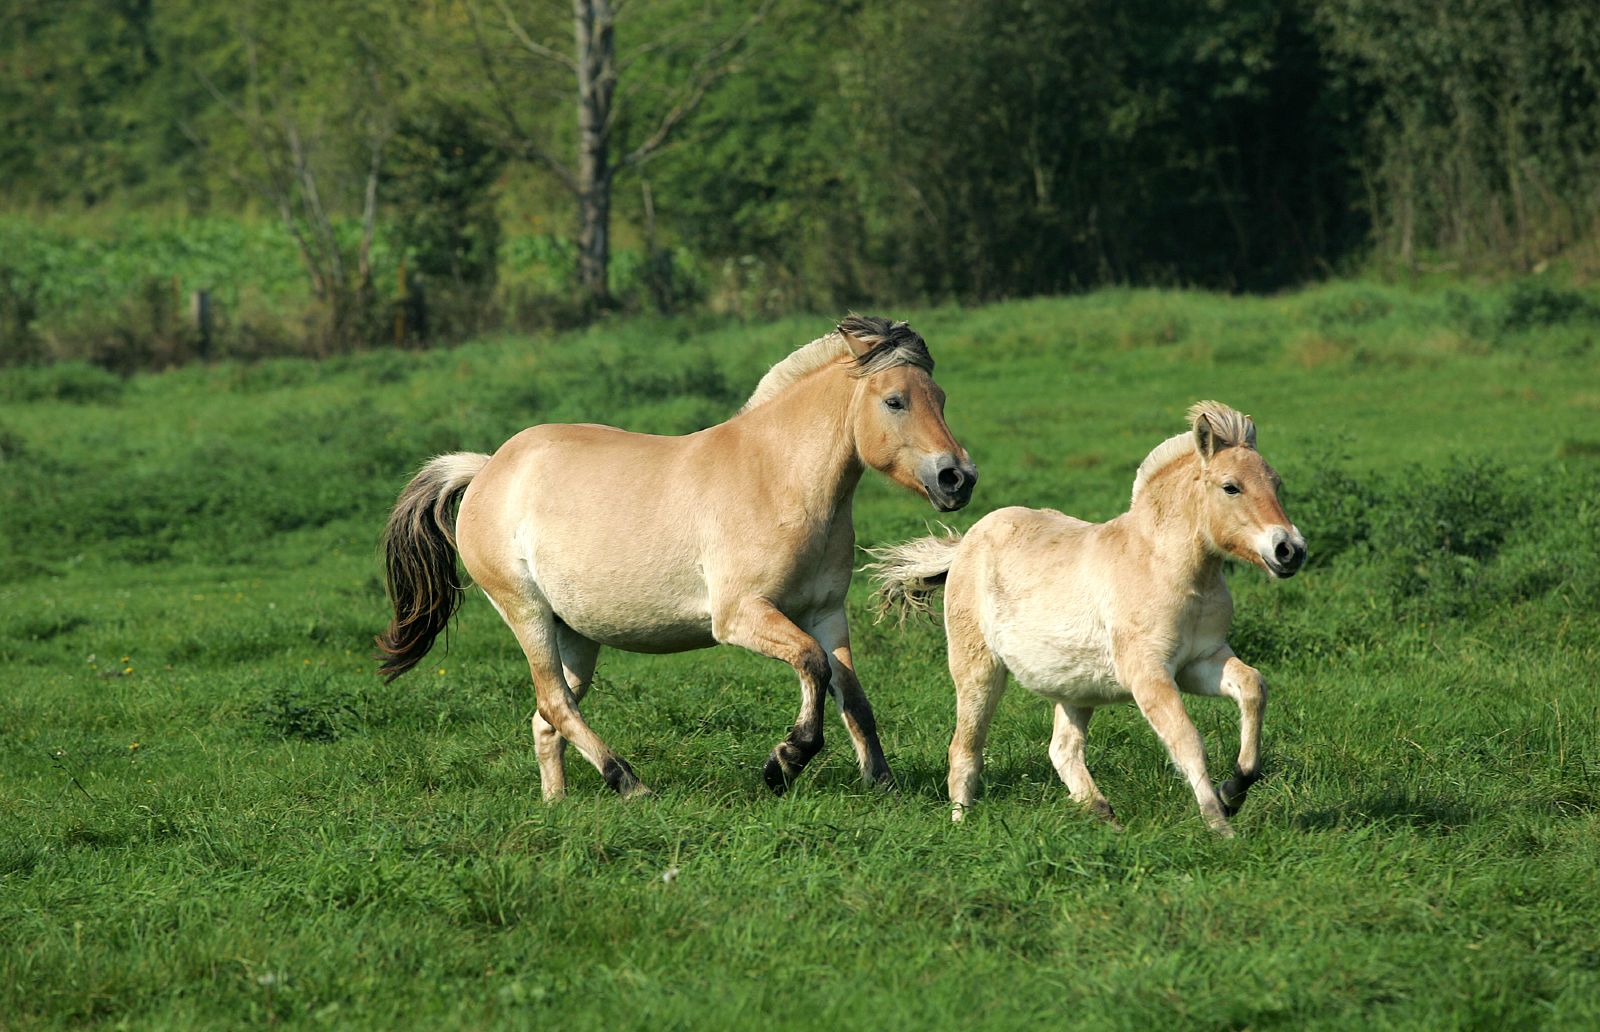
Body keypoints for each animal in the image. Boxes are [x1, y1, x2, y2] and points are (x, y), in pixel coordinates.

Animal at [374, 318, 972, 800]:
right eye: (894, 401)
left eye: (942, 397)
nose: (957, 478)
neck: (777, 477)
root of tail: (487, 469)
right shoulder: (740, 616)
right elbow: (812, 665)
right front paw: (783, 763)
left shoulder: (826, 612)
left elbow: (852, 693)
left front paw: (882, 781)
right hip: (527, 614)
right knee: (556, 704)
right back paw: (629, 784)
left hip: (576, 634)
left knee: (548, 717)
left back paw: (557, 806)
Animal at [870, 403, 1305, 838]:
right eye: (1231, 487)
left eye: (1277, 484)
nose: (1290, 550)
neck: (1165, 566)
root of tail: (964, 545)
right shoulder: (1148, 673)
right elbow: (1186, 739)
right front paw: (1220, 824)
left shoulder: (1199, 663)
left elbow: (1252, 686)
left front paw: (1235, 789)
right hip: (978, 670)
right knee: (965, 749)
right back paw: (962, 825)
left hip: (1075, 688)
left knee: (1062, 750)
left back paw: (1104, 814)